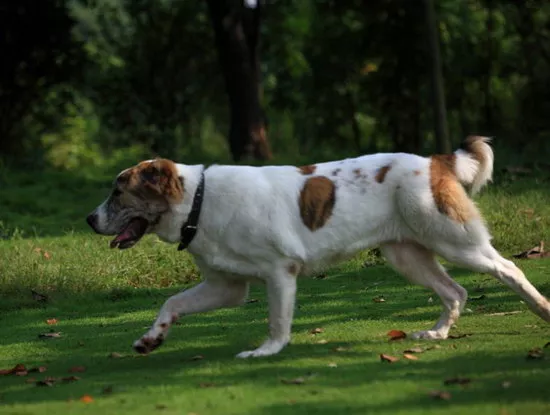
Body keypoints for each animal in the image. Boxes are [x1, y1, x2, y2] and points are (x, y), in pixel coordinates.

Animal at [86, 138, 550, 360]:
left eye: (118, 193)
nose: (89, 219)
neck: (199, 198)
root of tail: (435, 161)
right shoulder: (225, 287)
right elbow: (172, 303)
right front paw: (151, 339)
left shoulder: (279, 272)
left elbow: (277, 321)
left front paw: (265, 352)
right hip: (407, 255)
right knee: (455, 291)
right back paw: (436, 333)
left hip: (456, 242)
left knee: (509, 269)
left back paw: (541, 309)